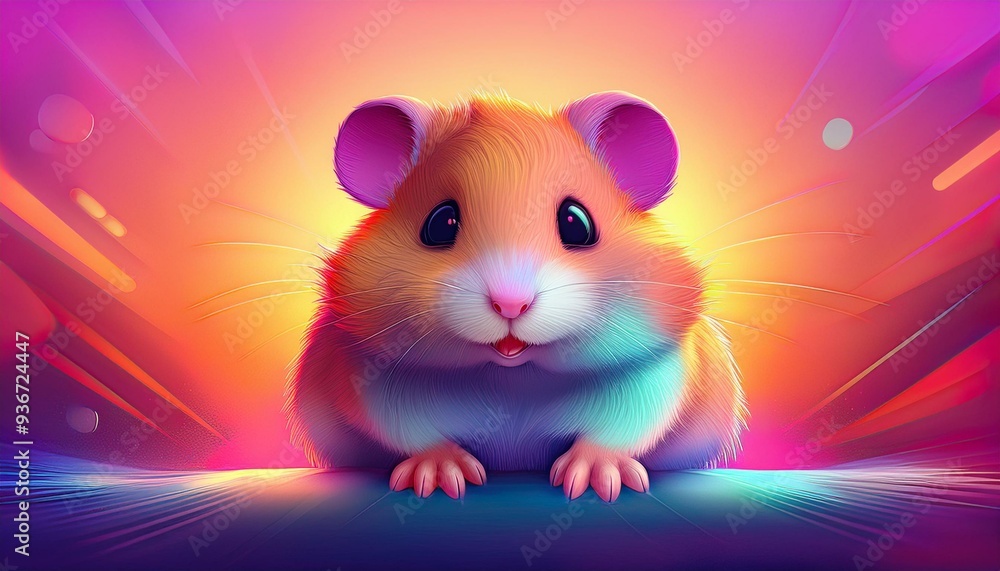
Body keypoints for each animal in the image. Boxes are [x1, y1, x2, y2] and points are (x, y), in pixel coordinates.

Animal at [284, 91, 747, 502]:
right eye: (439, 223)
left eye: (577, 223)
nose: (510, 304)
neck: (512, 375)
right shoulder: (370, 377)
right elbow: (413, 433)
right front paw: (443, 479)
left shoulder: (654, 373)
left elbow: (621, 429)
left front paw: (593, 482)